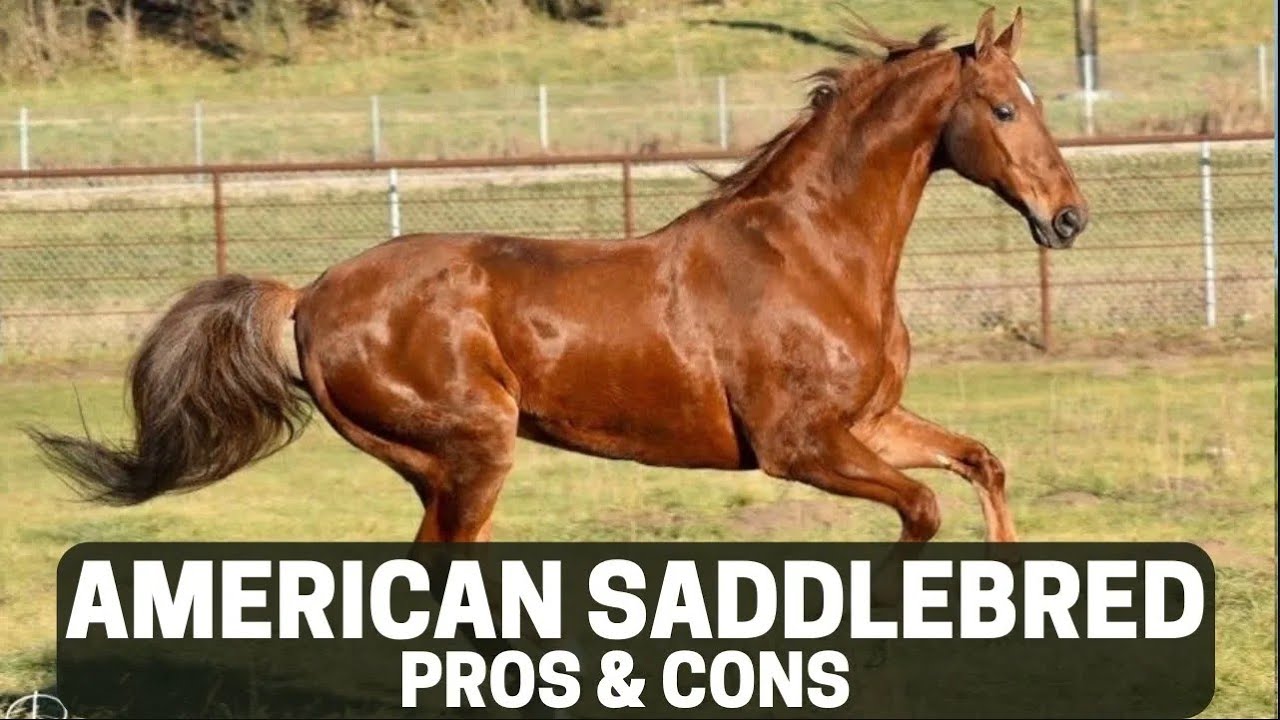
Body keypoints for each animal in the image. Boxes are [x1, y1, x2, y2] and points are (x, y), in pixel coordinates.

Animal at [29, 7, 1088, 547]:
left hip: (443, 468)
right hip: (470, 456)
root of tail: (307, 298)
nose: (1069, 216)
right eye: (1002, 108)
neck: (813, 252)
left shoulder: (870, 422)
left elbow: (979, 463)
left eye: (1034, 98)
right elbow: (922, 509)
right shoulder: (801, 446)